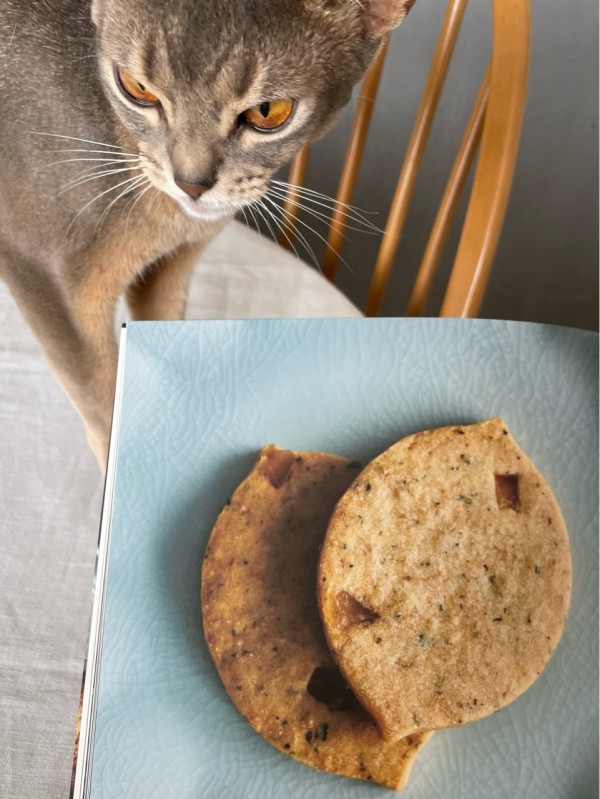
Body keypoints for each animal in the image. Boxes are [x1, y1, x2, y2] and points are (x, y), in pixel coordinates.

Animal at [0, 0, 412, 466]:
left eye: (268, 112)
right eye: (137, 88)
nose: (191, 183)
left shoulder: (169, 267)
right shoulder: (44, 276)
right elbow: (103, 410)